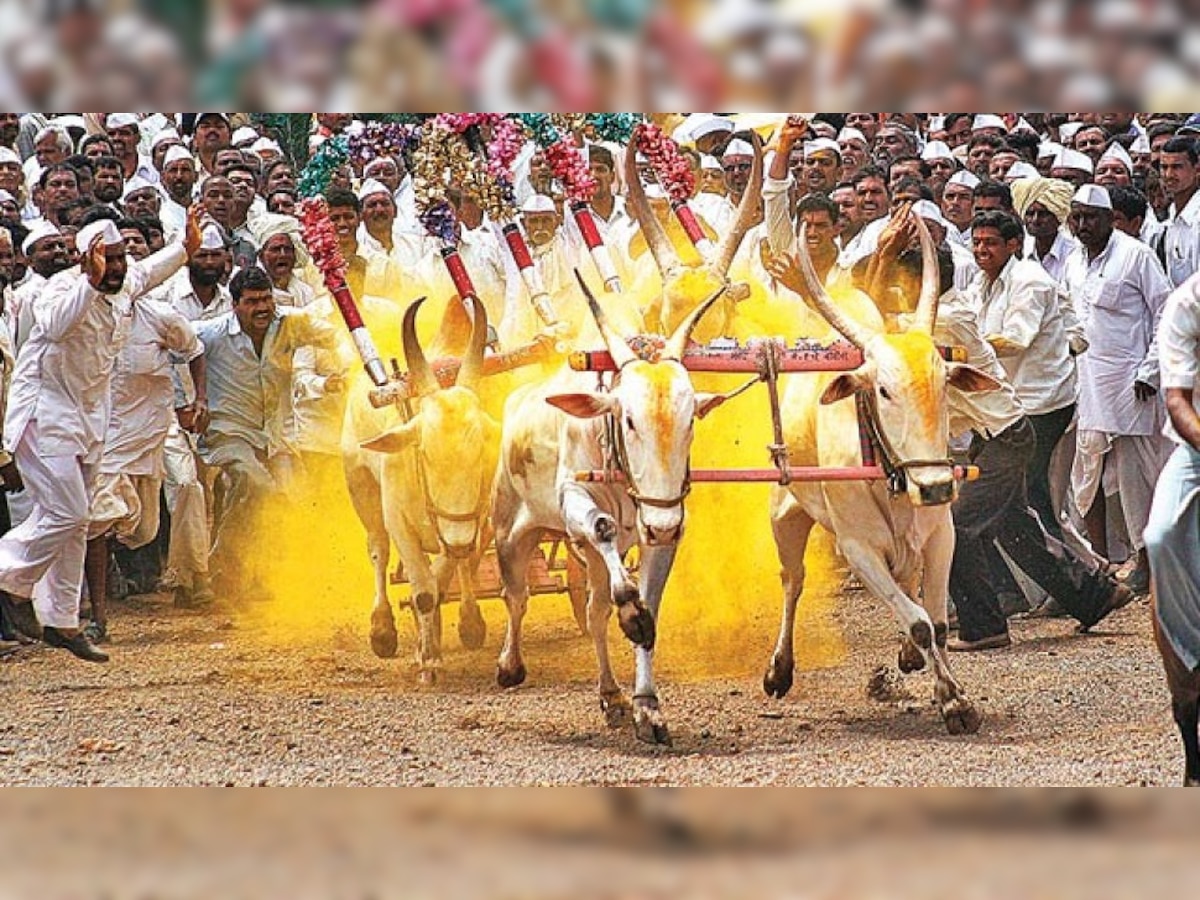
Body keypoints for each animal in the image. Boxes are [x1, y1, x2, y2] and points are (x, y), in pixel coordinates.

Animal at [345, 296, 499, 681]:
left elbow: (440, 582)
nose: (458, 541)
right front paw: (427, 658)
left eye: (481, 450)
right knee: (377, 550)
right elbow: (425, 591)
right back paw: (382, 628)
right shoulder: (400, 524)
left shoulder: (469, 524)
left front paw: (433, 644)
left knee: (462, 567)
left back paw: (468, 623)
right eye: (425, 452)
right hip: (361, 488)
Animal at [492, 278, 724, 744]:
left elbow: (646, 611)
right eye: (629, 419)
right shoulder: (573, 498)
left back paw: (612, 695)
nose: (663, 525)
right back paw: (509, 665)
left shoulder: (662, 531)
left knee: (595, 614)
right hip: (508, 531)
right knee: (517, 597)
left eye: (690, 419)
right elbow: (602, 528)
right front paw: (631, 612)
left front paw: (646, 707)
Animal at [763, 224, 998, 734]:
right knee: (792, 580)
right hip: (784, 514)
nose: (935, 486)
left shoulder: (941, 535)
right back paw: (779, 670)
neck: (892, 479)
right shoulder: (858, 549)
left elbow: (937, 624)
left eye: (944, 384)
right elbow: (920, 622)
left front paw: (948, 689)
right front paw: (954, 702)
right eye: (884, 390)